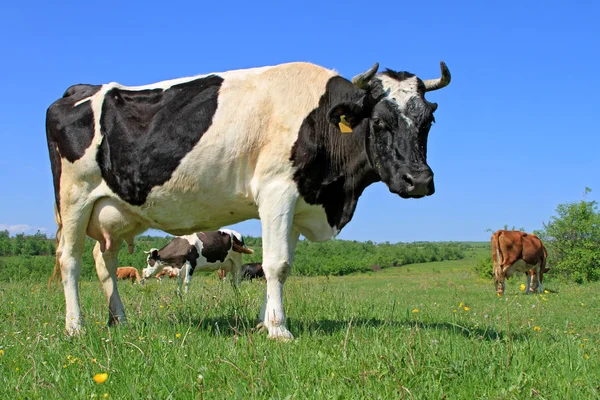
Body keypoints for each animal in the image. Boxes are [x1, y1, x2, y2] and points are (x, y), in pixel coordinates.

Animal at [45, 61, 450, 340]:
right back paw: (75, 327)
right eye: (379, 122)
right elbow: (275, 264)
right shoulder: (276, 192)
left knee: (105, 262)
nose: (419, 180)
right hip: (74, 198)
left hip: (113, 211)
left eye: (428, 121)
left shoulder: (297, 204)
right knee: (70, 260)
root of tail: (78, 90)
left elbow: (283, 266)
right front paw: (279, 329)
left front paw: (263, 322)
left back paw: (120, 320)